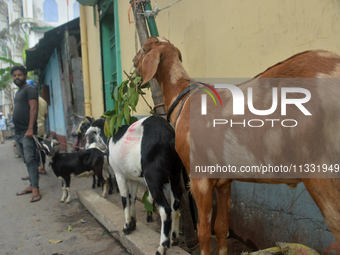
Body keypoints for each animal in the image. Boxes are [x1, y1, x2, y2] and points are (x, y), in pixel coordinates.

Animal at [86, 116, 185, 255]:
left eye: (94, 133)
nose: (100, 146)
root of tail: (170, 136)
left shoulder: (119, 174)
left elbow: (124, 199)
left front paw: (127, 226)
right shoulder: (134, 178)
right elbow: (132, 197)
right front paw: (133, 223)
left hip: (153, 177)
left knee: (165, 209)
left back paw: (162, 247)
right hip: (175, 173)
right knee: (175, 204)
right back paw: (174, 238)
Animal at [133, 36, 340, 255]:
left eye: (144, 49)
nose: (132, 62)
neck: (183, 100)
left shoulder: (200, 178)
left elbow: (204, 231)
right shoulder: (224, 180)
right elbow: (221, 227)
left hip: (322, 170)